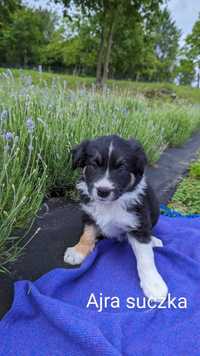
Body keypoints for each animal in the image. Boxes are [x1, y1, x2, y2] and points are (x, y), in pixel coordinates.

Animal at [63, 136, 167, 300]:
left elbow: (145, 258)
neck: (110, 205)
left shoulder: (139, 223)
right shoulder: (89, 214)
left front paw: (154, 284)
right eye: (93, 165)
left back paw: (154, 241)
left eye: (121, 168)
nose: (103, 191)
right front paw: (78, 251)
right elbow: (87, 234)